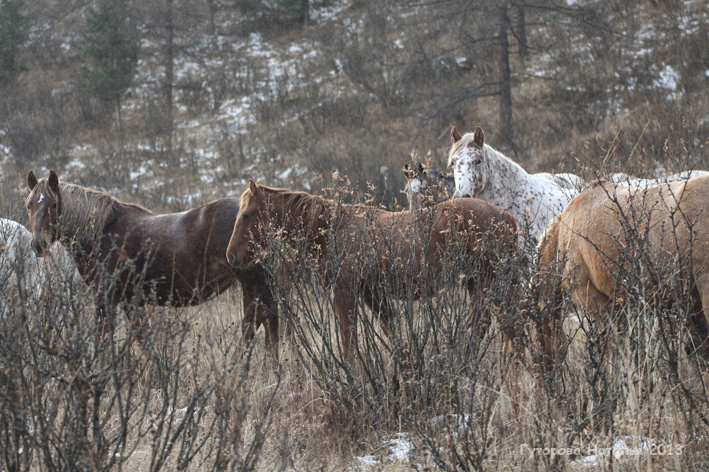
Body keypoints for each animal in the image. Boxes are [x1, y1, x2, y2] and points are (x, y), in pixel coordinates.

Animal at [25, 171, 280, 350]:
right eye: (28, 205)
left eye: (54, 205)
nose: (39, 244)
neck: (103, 231)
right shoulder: (131, 301)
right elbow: (143, 340)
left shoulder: (106, 298)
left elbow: (102, 340)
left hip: (253, 284)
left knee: (262, 322)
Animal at [227, 180, 520, 358]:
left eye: (248, 215)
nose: (232, 256)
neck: (334, 228)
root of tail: (507, 217)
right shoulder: (372, 294)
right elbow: (394, 336)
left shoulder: (345, 292)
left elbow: (349, 341)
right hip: (476, 284)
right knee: (482, 326)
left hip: (495, 284)